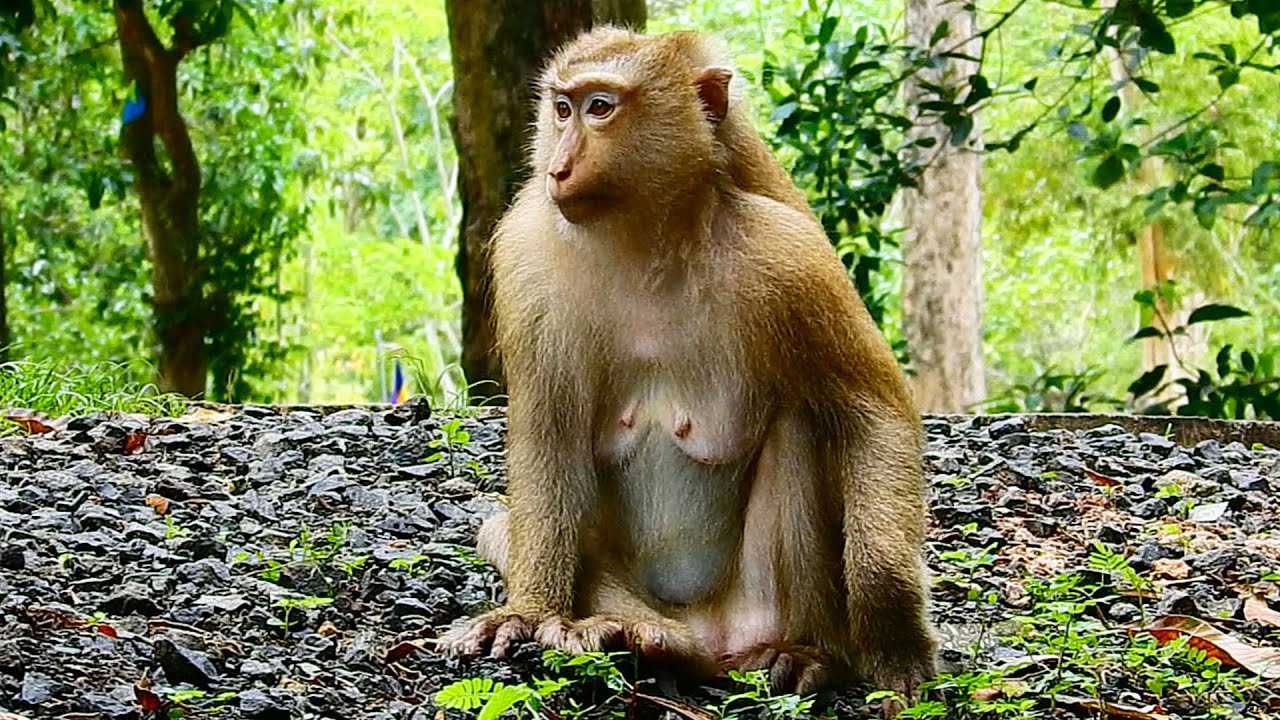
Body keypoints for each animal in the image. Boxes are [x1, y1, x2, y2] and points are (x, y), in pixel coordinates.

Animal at [440, 26, 937, 716]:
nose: (557, 166)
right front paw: (527, 612)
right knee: (501, 528)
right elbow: (549, 437)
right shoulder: (529, 255)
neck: (647, 237)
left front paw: (893, 637)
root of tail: (713, 643)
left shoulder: (792, 256)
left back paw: (802, 655)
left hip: (760, 606)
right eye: (562, 109)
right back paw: (632, 636)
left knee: (801, 426)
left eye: (600, 108)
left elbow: (873, 414)